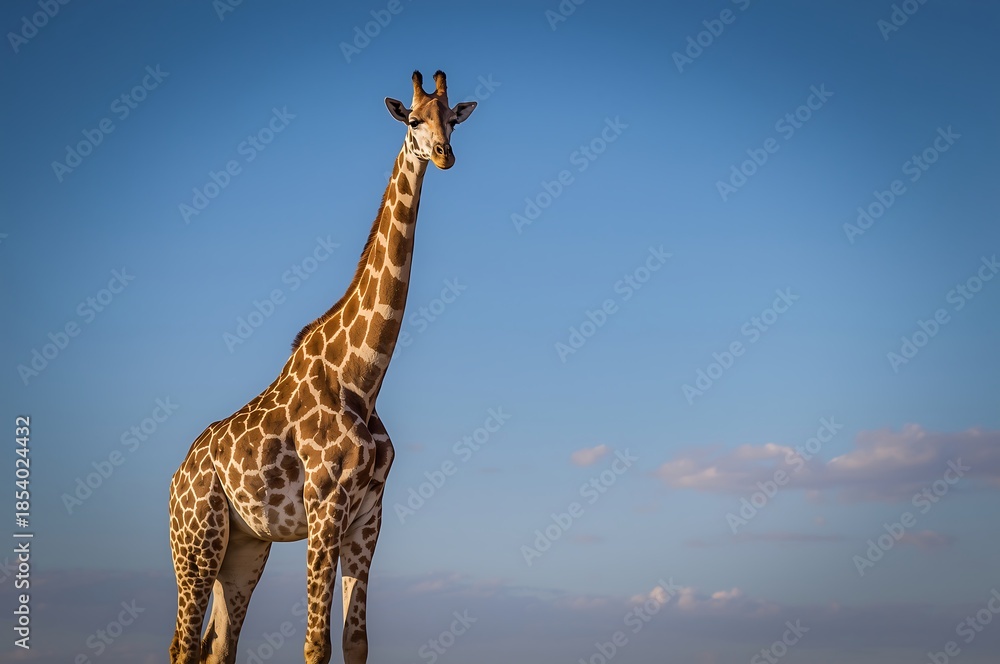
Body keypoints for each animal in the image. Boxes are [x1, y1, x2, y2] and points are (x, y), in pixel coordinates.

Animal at [168, 70, 476, 664]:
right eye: (413, 120)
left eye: (452, 119)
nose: (445, 155)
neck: (364, 378)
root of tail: (175, 479)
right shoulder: (324, 506)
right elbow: (316, 643)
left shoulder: (369, 515)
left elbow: (355, 642)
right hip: (195, 544)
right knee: (183, 644)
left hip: (244, 547)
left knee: (218, 643)